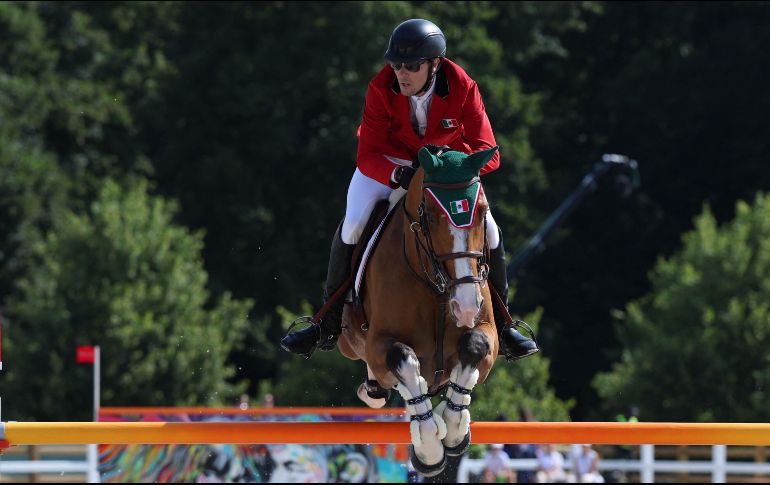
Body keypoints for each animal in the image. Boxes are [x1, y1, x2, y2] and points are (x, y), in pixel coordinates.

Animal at [336, 145, 498, 476]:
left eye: (481, 212)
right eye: (431, 217)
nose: (465, 307)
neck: (436, 287)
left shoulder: (489, 333)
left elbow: (475, 346)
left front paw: (454, 431)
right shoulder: (379, 343)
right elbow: (403, 360)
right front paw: (429, 450)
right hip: (349, 342)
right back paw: (373, 390)